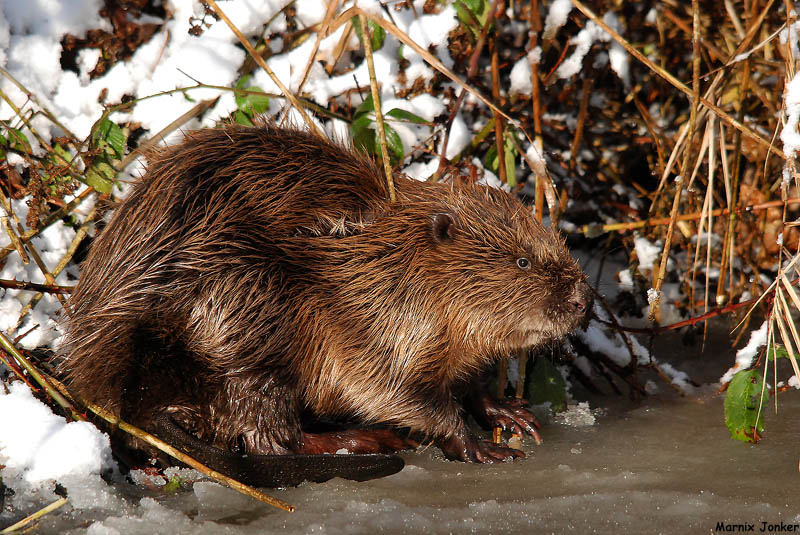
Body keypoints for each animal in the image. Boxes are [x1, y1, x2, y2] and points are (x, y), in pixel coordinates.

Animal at [56, 122, 592, 486]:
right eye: (523, 261)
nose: (583, 299)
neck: (392, 258)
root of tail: (128, 397)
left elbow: (468, 381)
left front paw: (511, 413)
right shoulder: (374, 318)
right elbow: (395, 392)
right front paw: (481, 447)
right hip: (250, 307)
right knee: (269, 438)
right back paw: (367, 440)